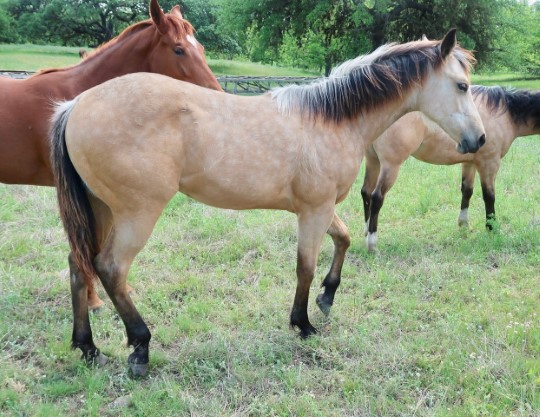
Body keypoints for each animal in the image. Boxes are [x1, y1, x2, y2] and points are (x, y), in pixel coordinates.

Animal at [49, 29, 486, 374]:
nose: (478, 140)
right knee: (111, 268)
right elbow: (305, 267)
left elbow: (343, 240)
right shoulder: (314, 211)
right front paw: (303, 323)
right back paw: (140, 346)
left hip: (101, 209)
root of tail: (75, 106)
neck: (331, 119)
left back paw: (87, 347)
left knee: (78, 264)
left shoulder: (321, 208)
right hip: (136, 213)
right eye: (462, 86)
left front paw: (327, 297)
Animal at [362, 84, 540, 250]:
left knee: (366, 192)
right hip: (391, 165)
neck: (504, 113)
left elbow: (467, 191)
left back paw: (365, 231)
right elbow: (489, 196)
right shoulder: (489, 163)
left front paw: (463, 224)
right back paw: (372, 242)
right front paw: (492, 228)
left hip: (373, 161)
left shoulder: (469, 163)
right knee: (377, 197)